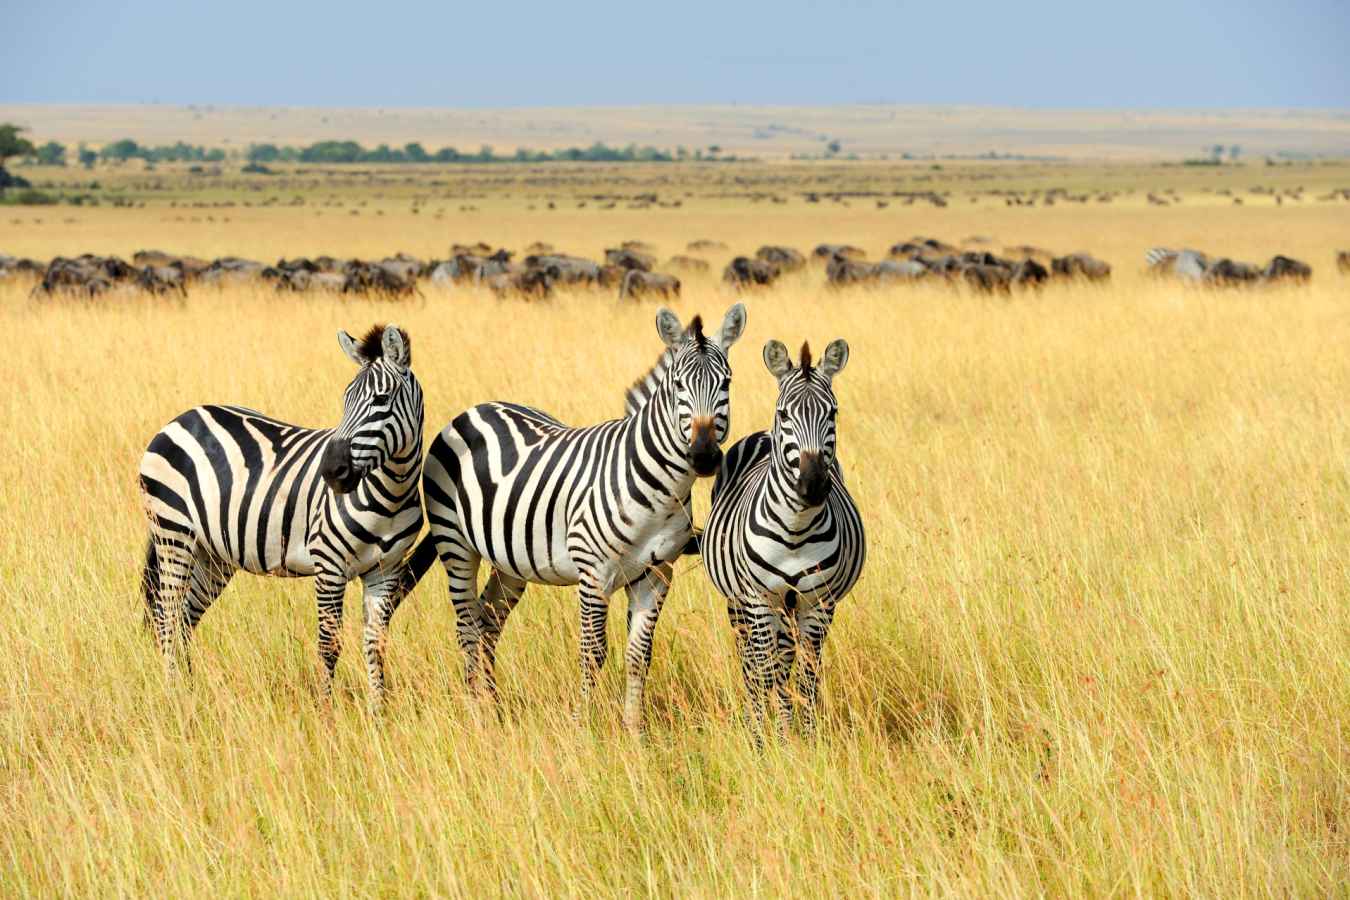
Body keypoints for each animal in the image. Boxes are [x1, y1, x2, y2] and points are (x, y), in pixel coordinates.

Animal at [138, 324, 424, 712]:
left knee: (184, 620)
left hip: (212, 555)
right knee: (167, 617)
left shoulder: (386, 570)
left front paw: (378, 714)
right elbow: (329, 645)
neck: (391, 494)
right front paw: (325, 712)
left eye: (381, 400)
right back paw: (173, 697)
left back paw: (190, 693)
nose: (332, 472)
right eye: (345, 399)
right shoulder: (329, 564)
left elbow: (375, 645)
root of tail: (181, 418)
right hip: (174, 535)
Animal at [398, 304, 746, 732]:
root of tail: (476, 409)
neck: (660, 490)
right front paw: (583, 727)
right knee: (466, 626)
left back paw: (492, 708)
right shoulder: (593, 573)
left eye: (726, 383)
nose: (704, 456)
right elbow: (593, 653)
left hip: (510, 561)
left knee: (487, 622)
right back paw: (477, 713)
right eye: (678, 385)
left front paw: (634, 732)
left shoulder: (657, 575)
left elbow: (640, 655)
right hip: (456, 544)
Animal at [700, 338, 865, 743]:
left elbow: (806, 674)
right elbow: (765, 670)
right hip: (740, 602)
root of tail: (761, 433)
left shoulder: (818, 602)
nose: (813, 485)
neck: (795, 529)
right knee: (751, 660)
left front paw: (805, 736)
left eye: (833, 412)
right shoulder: (759, 599)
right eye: (784, 414)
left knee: (788, 659)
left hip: (791, 607)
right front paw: (766, 739)